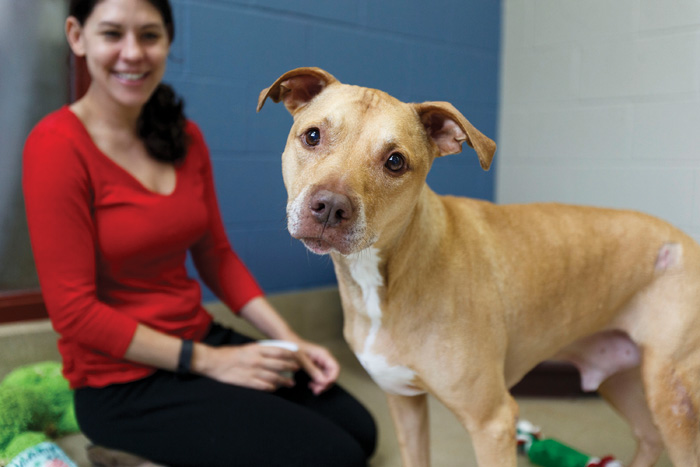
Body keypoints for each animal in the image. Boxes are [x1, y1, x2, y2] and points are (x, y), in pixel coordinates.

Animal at [258, 66, 700, 467]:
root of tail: (685, 240)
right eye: (312, 135)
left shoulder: (493, 422)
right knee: (648, 436)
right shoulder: (404, 403)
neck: (393, 272)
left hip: (672, 397)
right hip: (621, 376)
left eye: (395, 162)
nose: (331, 207)